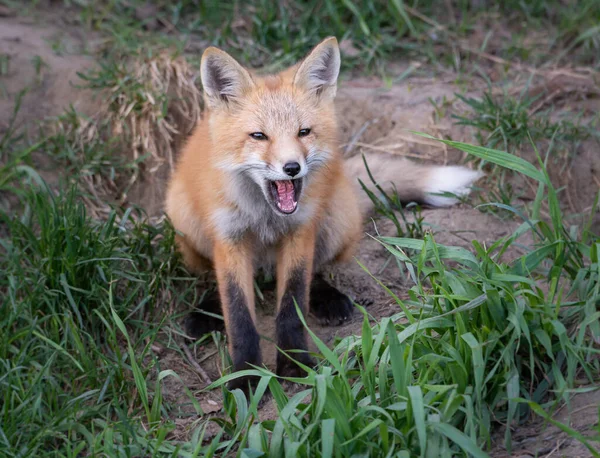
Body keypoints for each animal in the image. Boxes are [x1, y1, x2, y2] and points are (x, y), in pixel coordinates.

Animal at [165, 35, 482, 388]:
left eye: (303, 132)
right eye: (259, 136)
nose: (292, 168)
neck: (266, 217)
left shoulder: (301, 231)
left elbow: (293, 303)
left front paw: (295, 365)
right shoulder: (229, 238)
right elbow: (238, 313)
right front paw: (245, 376)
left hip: (337, 220)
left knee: (316, 271)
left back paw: (327, 298)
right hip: (186, 223)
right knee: (211, 275)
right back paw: (207, 309)